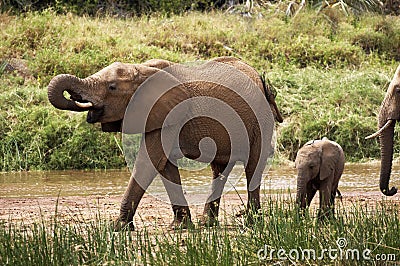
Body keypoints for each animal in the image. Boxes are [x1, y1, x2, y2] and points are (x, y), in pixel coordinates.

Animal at [47, 56, 282, 229]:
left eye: (112, 87)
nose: (75, 98)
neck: (141, 69)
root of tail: (260, 80)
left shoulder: (170, 114)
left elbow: (149, 161)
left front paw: (117, 227)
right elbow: (164, 165)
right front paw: (180, 227)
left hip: (259, 120)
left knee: (253, 165)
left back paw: (252, 222)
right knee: (220, 168)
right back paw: (207, 224)